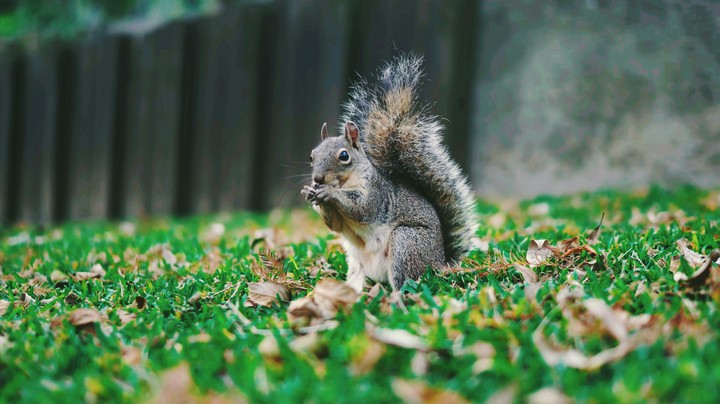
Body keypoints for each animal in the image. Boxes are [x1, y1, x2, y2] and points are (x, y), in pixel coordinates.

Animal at [301, 55, 477, 292]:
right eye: (312, 155)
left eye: (344, 156)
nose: (318, 178)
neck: (345, 183)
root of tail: (440, 263)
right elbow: (334, 225)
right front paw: (311, 192)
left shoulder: (376, 193)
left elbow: (362, 208)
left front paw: (329, 193)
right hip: (356, 265)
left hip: (406, 243)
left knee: (405, 282)